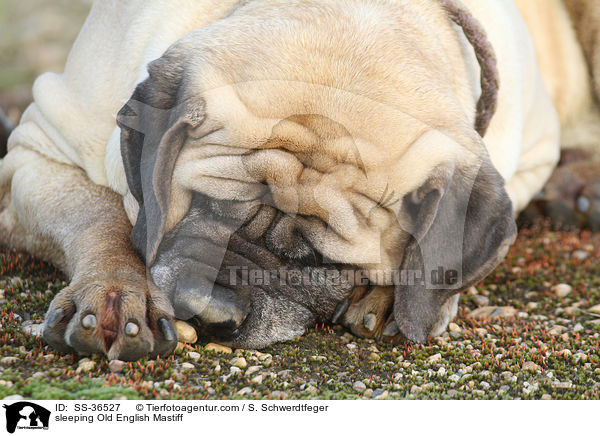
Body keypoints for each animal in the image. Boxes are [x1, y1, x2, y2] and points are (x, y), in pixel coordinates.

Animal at [0, 0, 596, 360]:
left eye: (320, 262)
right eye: (202, 206)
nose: (208, 310)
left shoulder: (527, 154)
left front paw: (396, 296)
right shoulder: (38, 149)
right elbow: (101, 219)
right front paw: (115, 293)